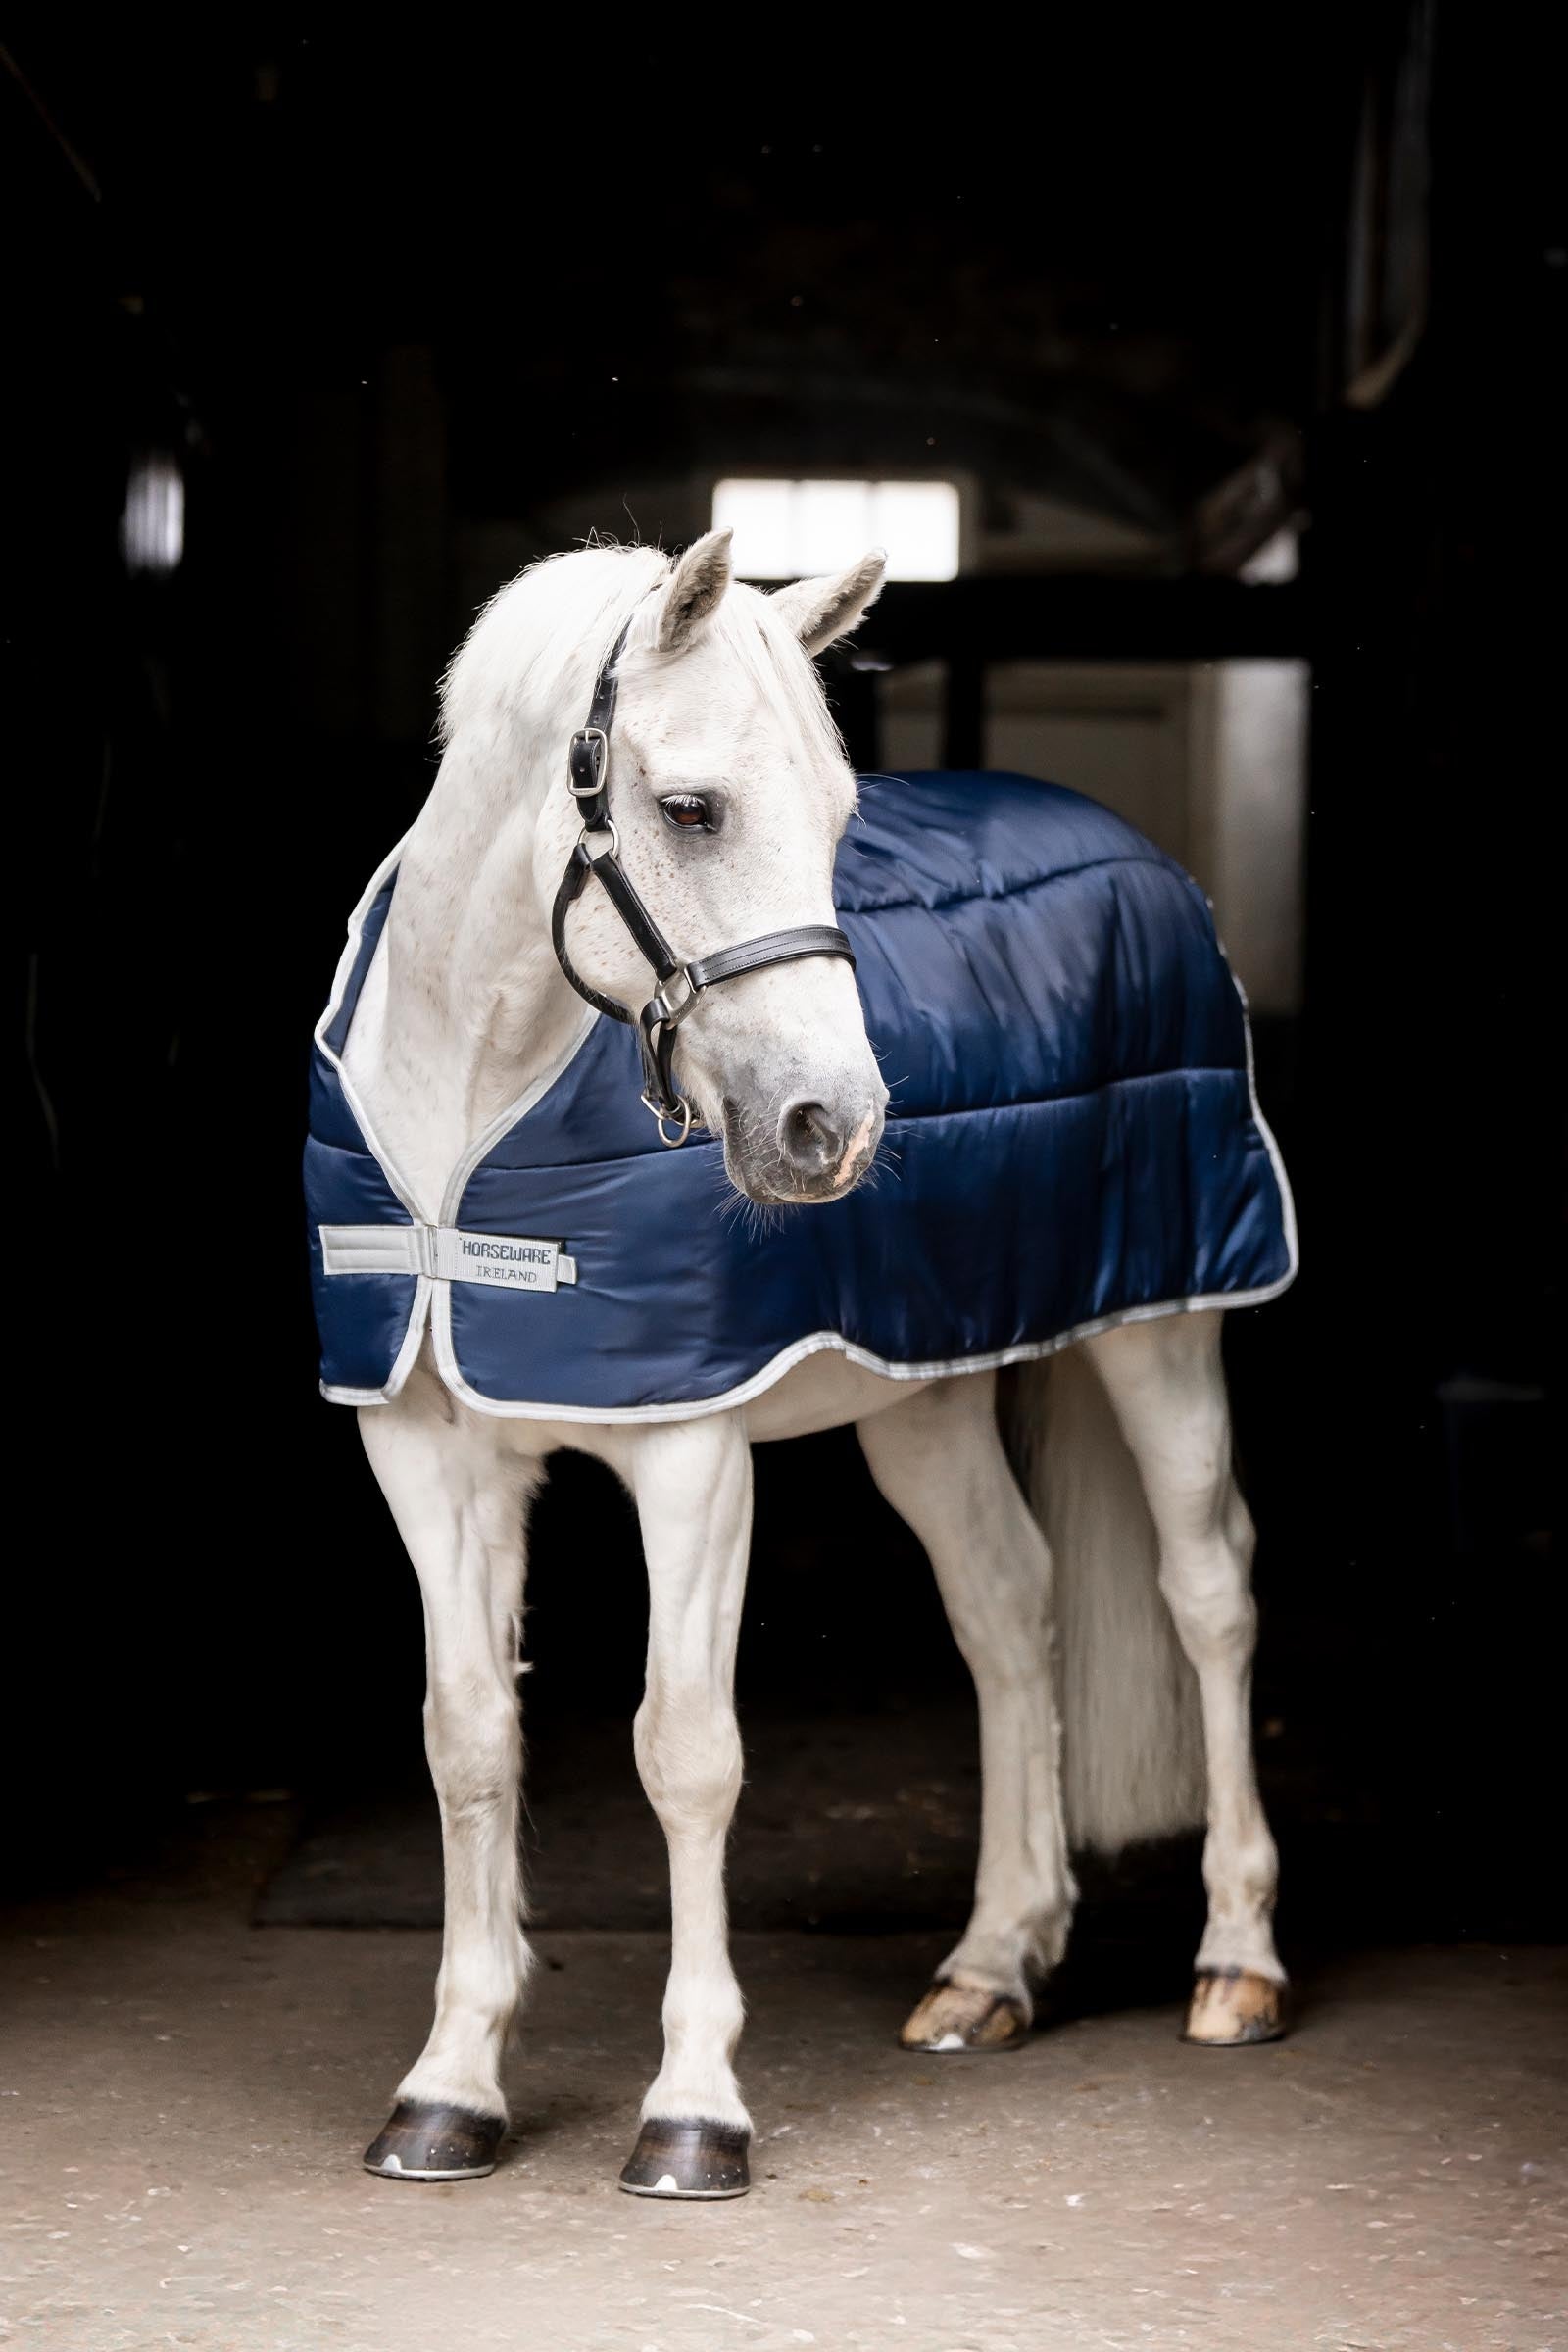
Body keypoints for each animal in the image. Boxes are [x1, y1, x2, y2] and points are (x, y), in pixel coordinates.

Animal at [304, 531, 1293, 2199]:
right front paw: (449, 2088)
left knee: (1209, 1588)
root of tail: (1128, 849)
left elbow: (687, 1751)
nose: (837, 1126)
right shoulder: (427, 1447)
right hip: (925, 1398)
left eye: (840, 816)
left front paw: (694, 2110)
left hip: (1163, 1327)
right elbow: (469, 1736)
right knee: (1007, 1607)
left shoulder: (690, 1454)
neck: (474, 1104)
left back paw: (1237, 1963)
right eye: (693, 809)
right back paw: (991, 1969)